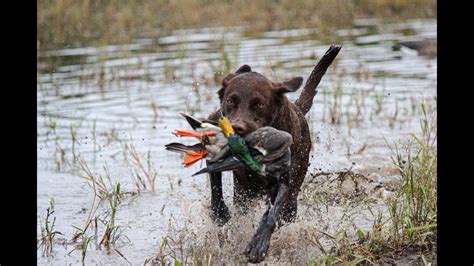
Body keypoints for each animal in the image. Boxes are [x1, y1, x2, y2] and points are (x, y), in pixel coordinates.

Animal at [207, 45, 340, 262]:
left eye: (259, 104)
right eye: (231, 101)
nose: (237, 128)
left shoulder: (284, 182)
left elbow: (271, 214)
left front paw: (258, 245)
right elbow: (215, 185)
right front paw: (220, 213)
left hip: (291, 198)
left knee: (283, 212)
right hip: (243, 194)